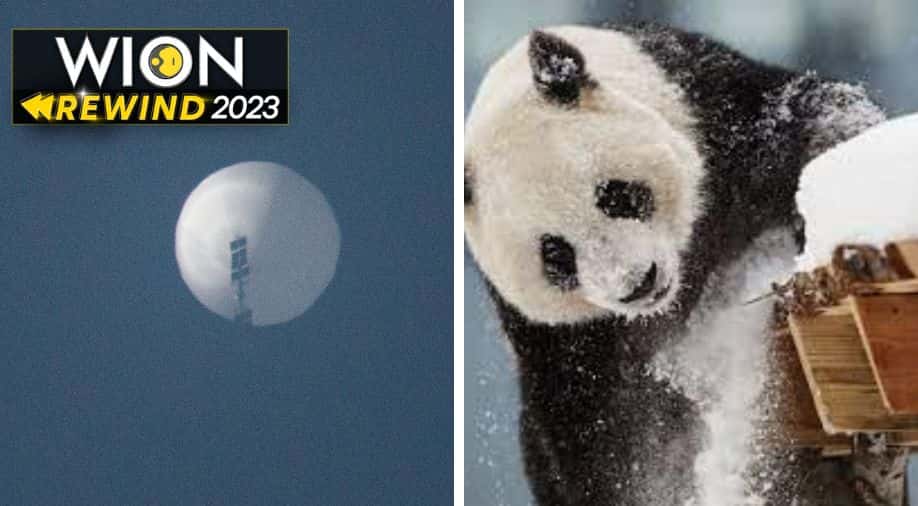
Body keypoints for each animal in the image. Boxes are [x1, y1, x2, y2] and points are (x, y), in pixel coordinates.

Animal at [464, 23, 885, 505]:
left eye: (614, 195)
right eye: (555, 254)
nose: (637, 283)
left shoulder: (715, 117)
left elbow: (812, 119)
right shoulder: (558, 336)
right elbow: (592, 426)